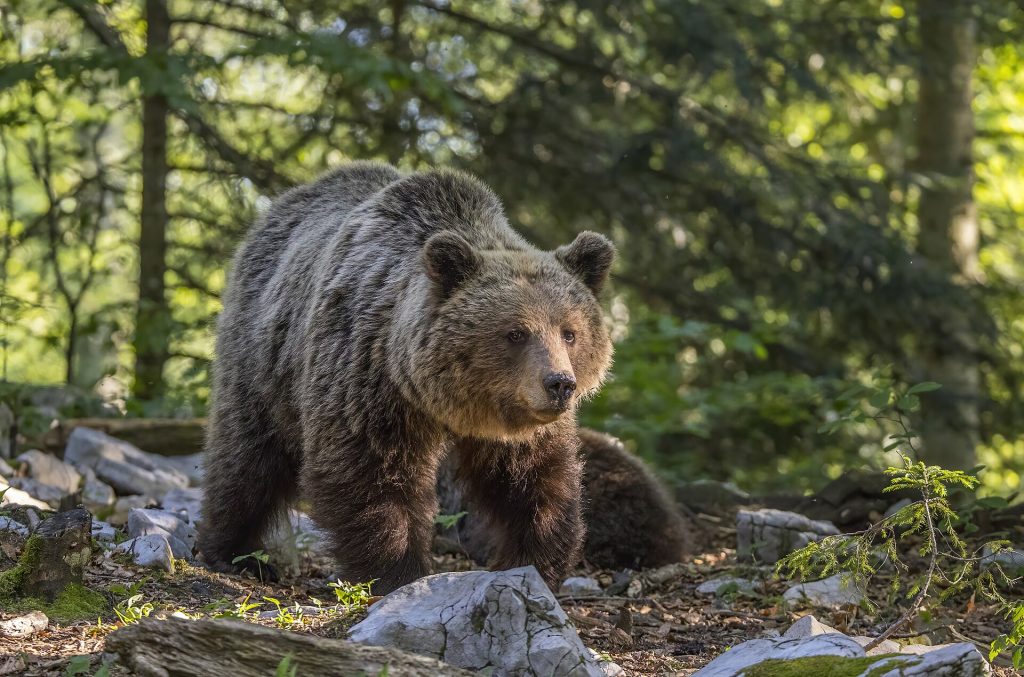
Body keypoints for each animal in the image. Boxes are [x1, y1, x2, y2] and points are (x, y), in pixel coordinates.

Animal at [198, 161, 615, 593]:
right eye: (516, 333)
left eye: (570, 332)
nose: (559, 383)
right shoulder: (367, 379)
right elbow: (370, 473)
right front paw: (397, 571)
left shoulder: (518, 423)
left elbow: (533, 480)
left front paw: (533, 561)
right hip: (264, 358)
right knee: (248, 457)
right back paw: (235, 552)